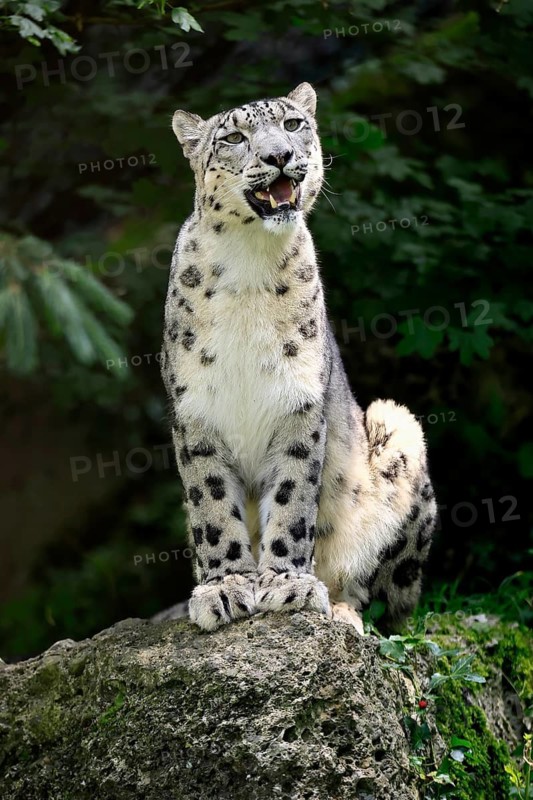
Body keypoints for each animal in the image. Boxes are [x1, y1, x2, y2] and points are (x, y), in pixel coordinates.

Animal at [158, 82, 437, 634]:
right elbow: (211, 506)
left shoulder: (298, 401)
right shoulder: (195, 411)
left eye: (292, 125)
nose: (279, 156)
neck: (249, 260)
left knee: (389, 605)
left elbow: (292, 497)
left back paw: (344, 611)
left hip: (400, 430)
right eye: (234, 137)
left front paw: (287, 584)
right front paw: (225, 587)